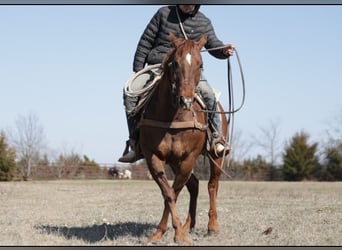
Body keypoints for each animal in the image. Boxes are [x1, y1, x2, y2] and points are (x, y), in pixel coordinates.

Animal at [138, 32, 228, 244]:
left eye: (200, 64)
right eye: (175, 63)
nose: (185, 100)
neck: (173, 117)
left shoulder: (189, 158)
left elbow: (176, 191)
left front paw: (178, 234)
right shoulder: (154, 157)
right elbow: (169, 194)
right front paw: (162, 233)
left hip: (216, 156)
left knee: (212, 185)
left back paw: (212, 226)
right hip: (174, 161)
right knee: (194, 185)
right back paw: (188, 225)